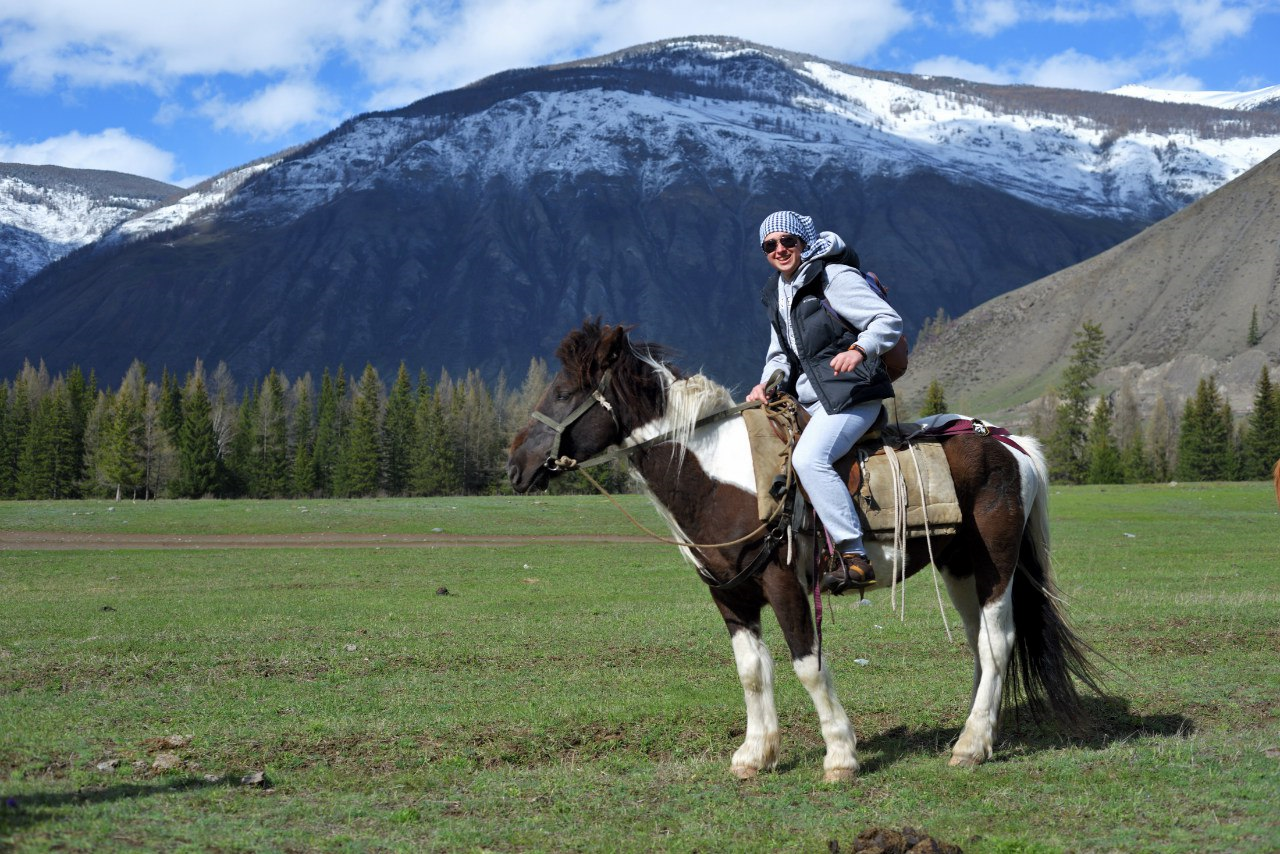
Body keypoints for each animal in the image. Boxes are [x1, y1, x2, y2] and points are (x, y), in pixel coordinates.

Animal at [504, 320, 1105, 783]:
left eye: (564, 392)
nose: (515, 466)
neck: (719, 476)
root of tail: (1011, 443)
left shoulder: (783, 583)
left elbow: (808, 666)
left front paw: (840, 756)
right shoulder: (730, 596)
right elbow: (752, 670)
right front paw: (755, 755)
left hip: (995, 566)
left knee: (998, 641)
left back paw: (971, 747)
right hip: (957, 568)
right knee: (980, 645)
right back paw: (976, 735)